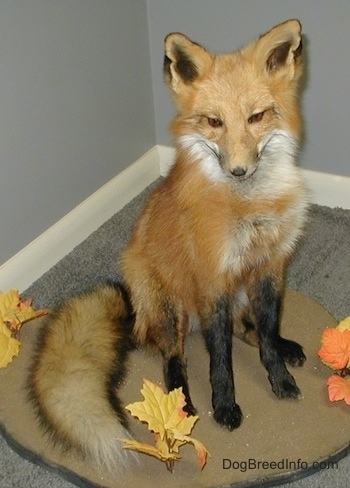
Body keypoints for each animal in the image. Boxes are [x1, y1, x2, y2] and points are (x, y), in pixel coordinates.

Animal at [29, 19, 308, 472]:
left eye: (256, 117)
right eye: (213, 122)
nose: (239, 170)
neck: (249, 208)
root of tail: (134, 304)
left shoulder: (269, 267)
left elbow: (266, 334)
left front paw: (281, 377)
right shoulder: (213, 279)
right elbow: (220, 359)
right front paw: (225, 406)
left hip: (237, 293)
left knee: (245, 327)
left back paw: (287, 346)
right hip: (171, 305)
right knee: (173, 360)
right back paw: (181, 409)